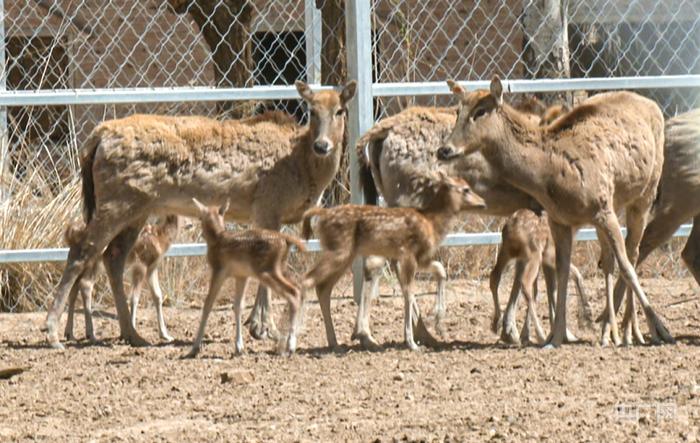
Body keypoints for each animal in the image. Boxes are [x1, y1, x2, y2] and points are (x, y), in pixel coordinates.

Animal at [183, 199, 304, 360]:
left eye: (200, 216)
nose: (197, 229)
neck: (217, 239)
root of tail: (286, 240)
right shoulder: (241, 276)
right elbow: (238, 306)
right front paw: (239, 347)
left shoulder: (218, 271)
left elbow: (208, 304)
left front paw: (194, 348)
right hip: (281, 270)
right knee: (298, 289)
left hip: (267, 272)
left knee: (293, 293)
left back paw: (289, 346)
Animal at [300, 173, 486, 350]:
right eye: (466, 189)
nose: (483, 202)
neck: (431, 223)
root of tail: (321, 217)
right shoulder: (408, 255)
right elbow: (409, 294)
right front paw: (411, 342)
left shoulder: (420, 257)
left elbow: (440, 270)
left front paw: (438, 320)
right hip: (339, 251)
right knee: (307, 279)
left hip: (345, 254)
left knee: (323, 287)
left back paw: (335, 343)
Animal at [440, 75, 676, 346]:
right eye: (457, 111)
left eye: (480, 111)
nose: (444, 150)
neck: (549, 176)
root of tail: (652, 105)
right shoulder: (560, 219)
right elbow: (562, 271)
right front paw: (557, 335)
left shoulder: (602, 207)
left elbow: (625, 266)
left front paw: (661, 329)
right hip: (613, 206)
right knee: (608, 260)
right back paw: (609, 329)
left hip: (645, 193)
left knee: (633, 253)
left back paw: (630, 331)